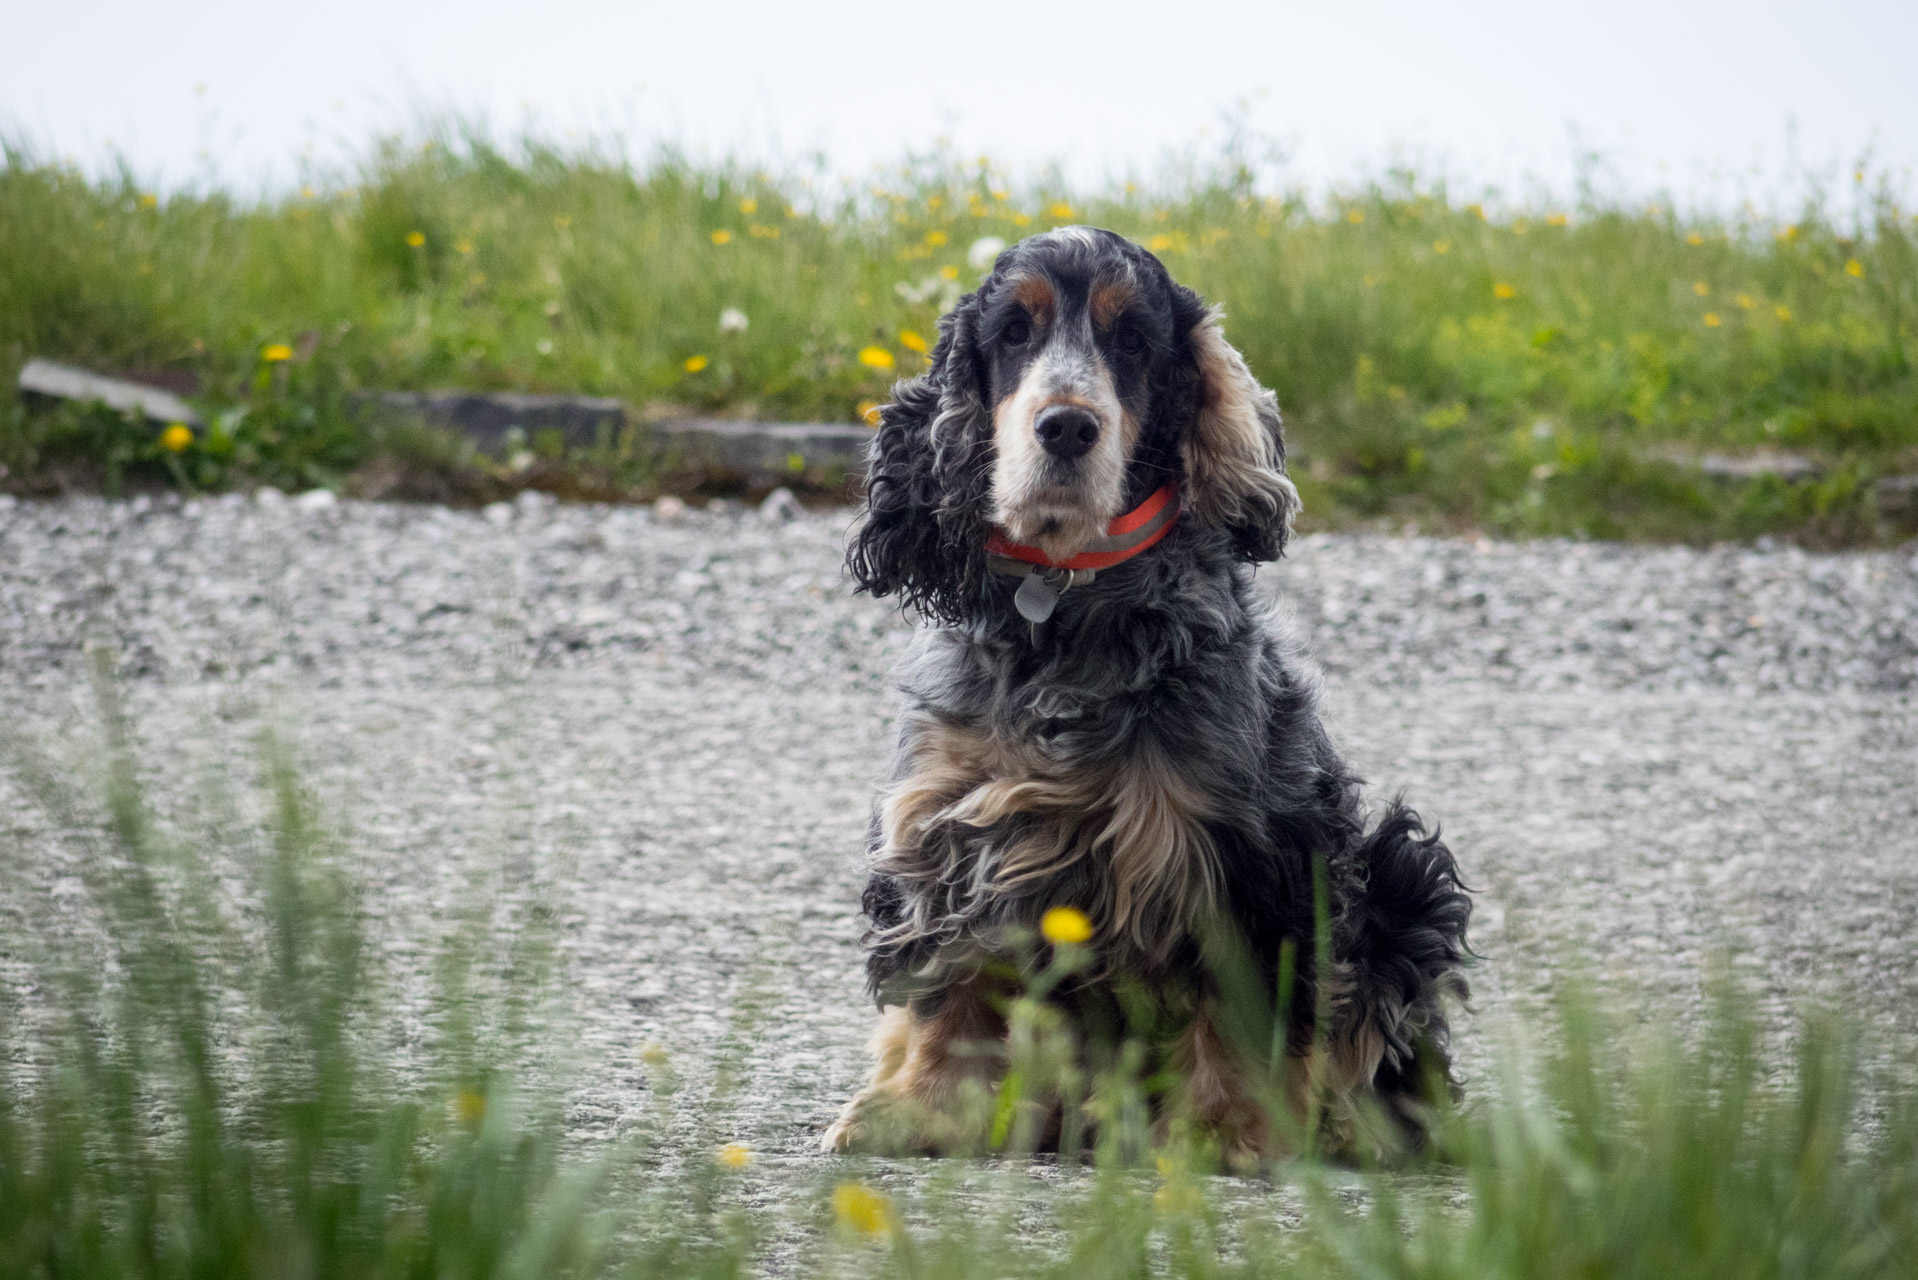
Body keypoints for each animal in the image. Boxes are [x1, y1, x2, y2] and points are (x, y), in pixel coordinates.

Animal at [820, 225, 1465, 1166]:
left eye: (1130, 340)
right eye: (1013, 332)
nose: (1067, 426)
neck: (1062, 608)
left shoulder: (1244, 855)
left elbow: (1238, 1011)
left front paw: (1219, 1135)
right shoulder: (947, 829)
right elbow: (951, 987)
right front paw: (920, 1110)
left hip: (1400, 873)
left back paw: (1347, 1127)